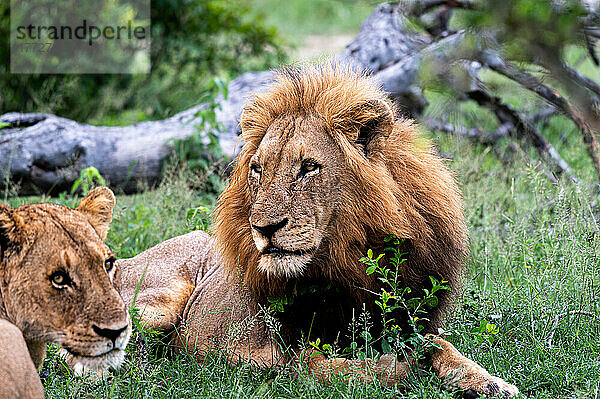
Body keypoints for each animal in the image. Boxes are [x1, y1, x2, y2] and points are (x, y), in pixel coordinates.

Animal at [119, 65, 516, 396]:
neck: (347, 262)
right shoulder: (273, 355)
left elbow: (441, 346)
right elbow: (332, 368)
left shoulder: (409, 319)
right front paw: (400, 368)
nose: (263, 228)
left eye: (308, 167)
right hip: (157, 305)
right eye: (258, 169)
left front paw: (489, 382)